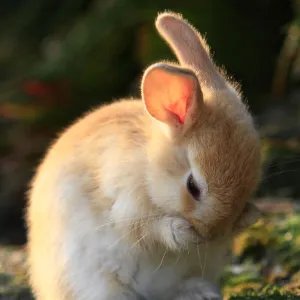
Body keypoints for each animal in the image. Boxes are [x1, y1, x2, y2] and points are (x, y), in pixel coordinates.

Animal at [27, 10, 262, 298]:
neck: (149, 166)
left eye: (250, 186)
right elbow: (149, 230)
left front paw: (250, 216)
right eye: (193, 187)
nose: (211, 233)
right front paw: (183, 232)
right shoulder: (125, 205)